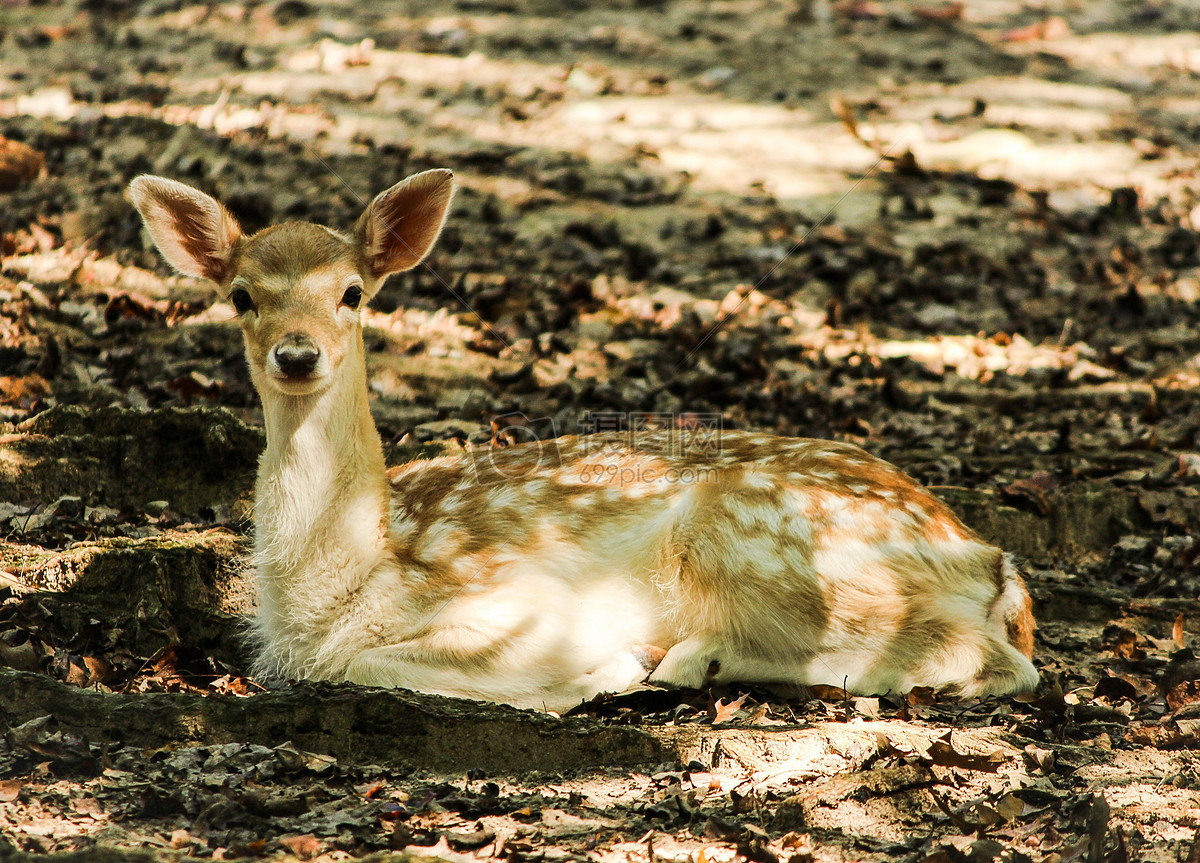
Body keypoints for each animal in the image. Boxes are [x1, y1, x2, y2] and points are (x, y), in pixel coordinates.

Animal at [126, 171, 1036, 710]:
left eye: (352, 292)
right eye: (242, 295)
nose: (297, 353)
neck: (344, 578)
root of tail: (993, 561)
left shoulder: (520, 599)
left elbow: (371, 662)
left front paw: (607, 668)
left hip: (762, 541)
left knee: (988, 660)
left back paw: (684, 659)